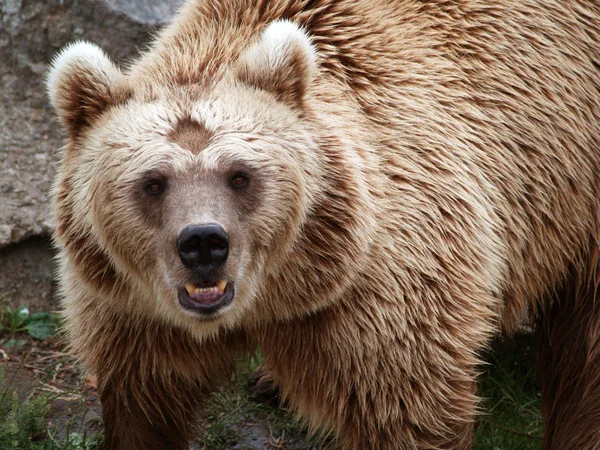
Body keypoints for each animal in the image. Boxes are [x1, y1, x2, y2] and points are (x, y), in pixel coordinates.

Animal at [47, 0, 600, 448]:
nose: (203, 244)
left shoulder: (383, 289)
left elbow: (410, 409)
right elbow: (142, 406)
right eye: (154, 182)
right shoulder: (131, 309)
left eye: (240, 176)